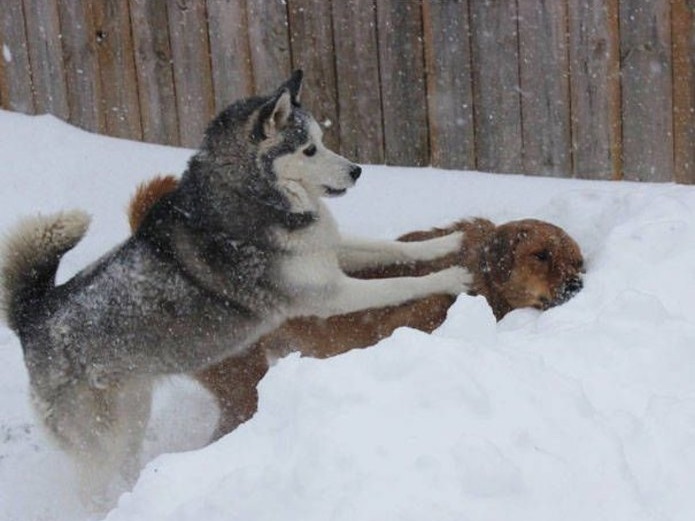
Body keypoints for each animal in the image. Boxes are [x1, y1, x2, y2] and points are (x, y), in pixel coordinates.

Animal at [0, 71, 470, 502]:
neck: (256, 196)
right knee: (93, 485)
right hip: (102, 438)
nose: (358, 171)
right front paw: (450, 276)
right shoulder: (329, 293)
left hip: (131, 414)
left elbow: (391, 247)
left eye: (322, 140)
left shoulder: (327, 253)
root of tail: (32, 315)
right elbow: (400, 283)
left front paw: (447, 242)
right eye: (309, 149)